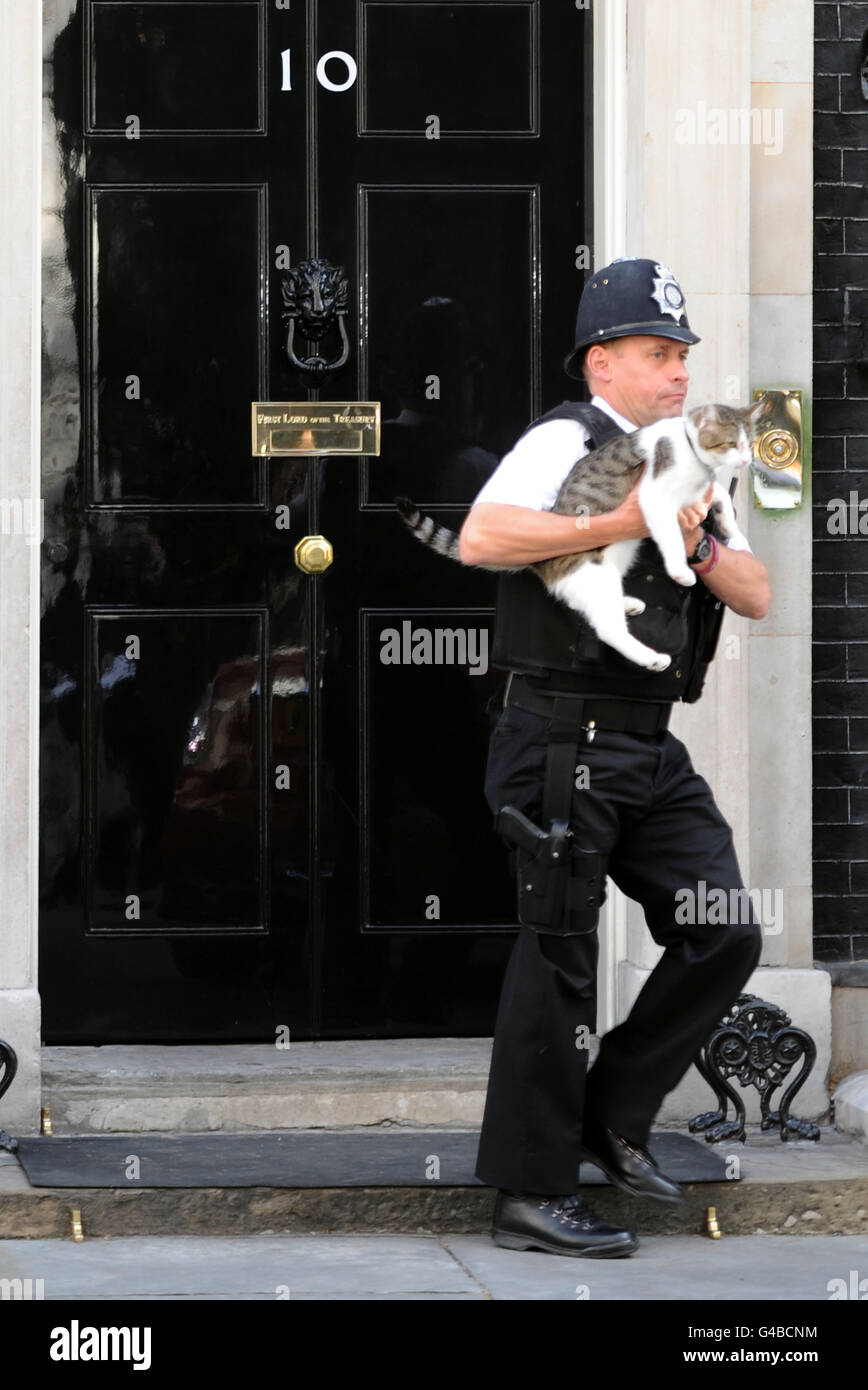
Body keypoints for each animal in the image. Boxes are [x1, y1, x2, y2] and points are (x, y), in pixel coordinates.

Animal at [397, 400, 767, 669]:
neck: (690, 450)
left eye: (751, 443)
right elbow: (673, 537)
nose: (746, 460)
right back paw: (650, 657)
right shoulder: (655, 498)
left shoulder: (699, 491)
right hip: (594, 571)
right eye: (731, 443)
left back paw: (628, 603)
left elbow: (719, 496)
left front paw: (735, 534)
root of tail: (542, 565)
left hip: (613, 561)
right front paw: (681, 571)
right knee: (607, 628)